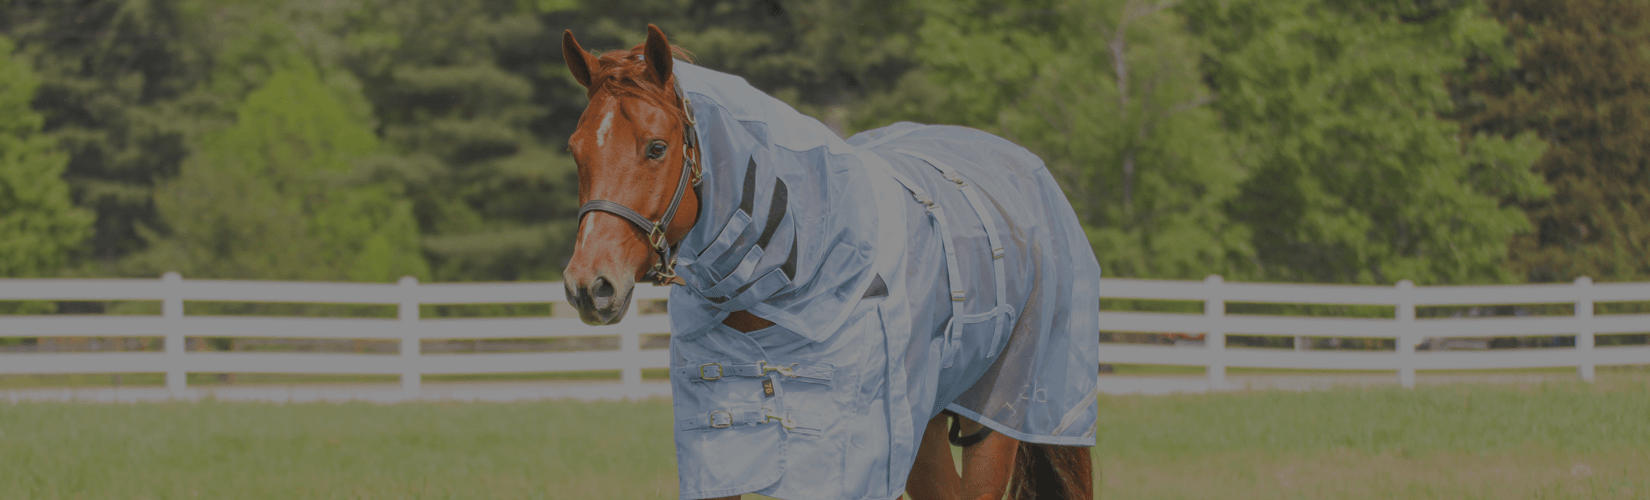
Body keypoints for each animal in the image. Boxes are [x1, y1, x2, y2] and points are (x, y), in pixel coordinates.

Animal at [561, 25, 1100, 500]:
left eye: (656, 147)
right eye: (576, 150)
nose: (590, 285)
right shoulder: (717, 451)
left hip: (1004, 412)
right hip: (924, 424)